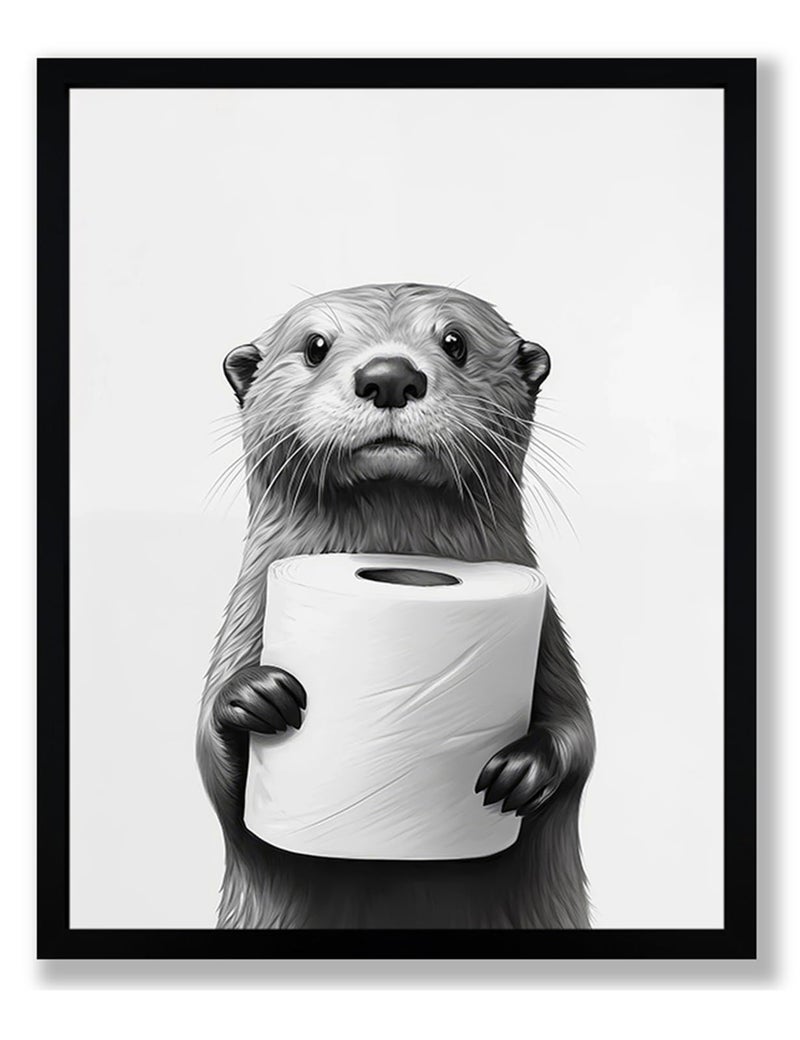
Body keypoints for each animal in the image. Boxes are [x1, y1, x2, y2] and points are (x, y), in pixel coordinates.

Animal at [196, 283, 595, 929]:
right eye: (315, 345)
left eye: (455, 341)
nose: (389, 375)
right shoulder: (244, 620)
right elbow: (213, 769)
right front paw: (254, 696)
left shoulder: (549, 640)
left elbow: (580, 735)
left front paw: (524, 769)